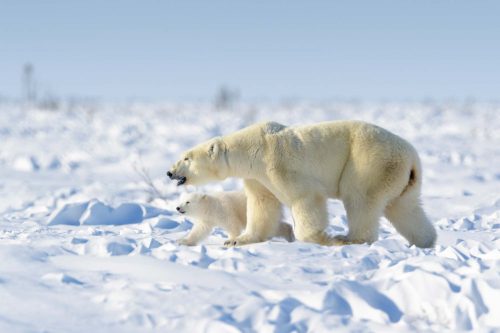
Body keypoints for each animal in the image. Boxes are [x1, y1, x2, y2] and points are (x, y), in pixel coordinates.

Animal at [168, 120, 438, 246]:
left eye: (186, 158)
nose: (170, 172)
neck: (253, 148)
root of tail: (412, 158)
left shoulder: (278, 163)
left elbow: (304, 197)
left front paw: (321, 238)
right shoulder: (257, 176)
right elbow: (262, 204)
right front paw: (237, 240)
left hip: (368, 162)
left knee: (360, 198)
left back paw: (348, 238)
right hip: (401, 178)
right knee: (405, 207)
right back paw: (425, 241)